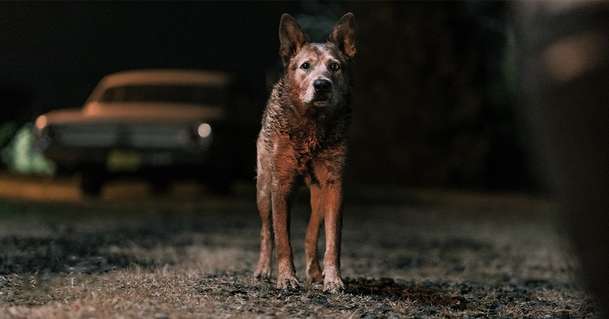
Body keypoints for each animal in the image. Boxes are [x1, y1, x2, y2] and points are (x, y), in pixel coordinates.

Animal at [253, 11, 356, 292]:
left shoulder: (334, 185)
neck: (312, 127)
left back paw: (315, 272)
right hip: (263, 189)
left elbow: (333, 240)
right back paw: (262, 269)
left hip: (317, 195)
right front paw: (286, 277)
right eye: (305, 66)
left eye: (335, 66)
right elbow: (282, 239)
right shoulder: (280, 184)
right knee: (266, 232)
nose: (322, 85)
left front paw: (333, 278)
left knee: (312, 233)